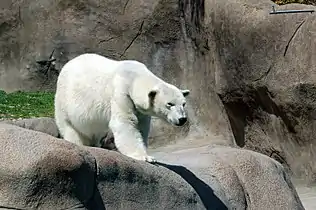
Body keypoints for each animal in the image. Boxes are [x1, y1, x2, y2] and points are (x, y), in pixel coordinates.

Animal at [53, 53, 190, 162]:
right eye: (169, 104)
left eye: (183, 104)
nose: (182, 119)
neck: (134, 77)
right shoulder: (121, 93)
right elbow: (125, 123)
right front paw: (146, 157)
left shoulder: (139, 108)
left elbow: (141, 126)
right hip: (65, 100)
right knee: (69, 126)